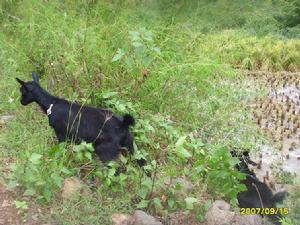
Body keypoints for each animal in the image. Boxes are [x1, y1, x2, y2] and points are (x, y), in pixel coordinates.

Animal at [17, 71, 145, 165]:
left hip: (106, 150)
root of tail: (123, 124)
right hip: (131, 146)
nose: (21, 102)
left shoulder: (61, 135)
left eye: (22, 91)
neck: (51, 104)